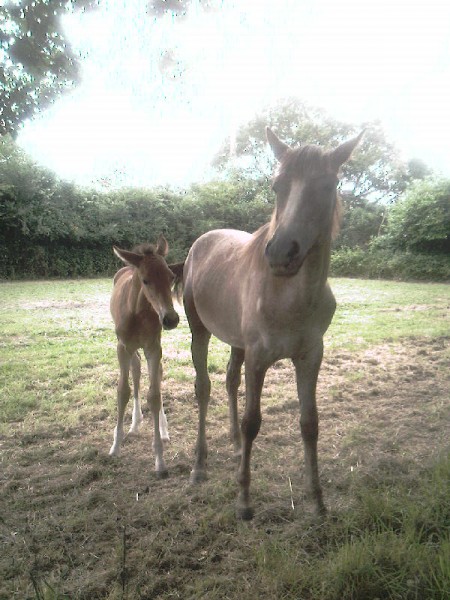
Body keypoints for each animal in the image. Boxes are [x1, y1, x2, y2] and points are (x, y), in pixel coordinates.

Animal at [109, 234, 183, 478]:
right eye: (145, 280)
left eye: (171, 277)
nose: (170, 319)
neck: (136, 311)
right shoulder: (122, 347)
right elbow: (123, 391)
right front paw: (115, 446)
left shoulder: (153, 347)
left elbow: (155, 395)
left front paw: (159, 460)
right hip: (131, 349)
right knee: (136, 369)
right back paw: (134, 424)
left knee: (155, 374)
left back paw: (162, 429)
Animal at [185, 127, 364, 520]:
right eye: (277, 185)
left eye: (328, 185)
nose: (282, 253)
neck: (290, 298)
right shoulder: (259, 357)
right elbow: (253, 422)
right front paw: (243, 500)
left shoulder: (310, 356)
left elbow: (309, 423)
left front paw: (317, 500)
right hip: (199, 332)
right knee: (203, 388)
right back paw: (199, 465)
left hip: (236, 341)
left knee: (230, 381)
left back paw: (235, 446)